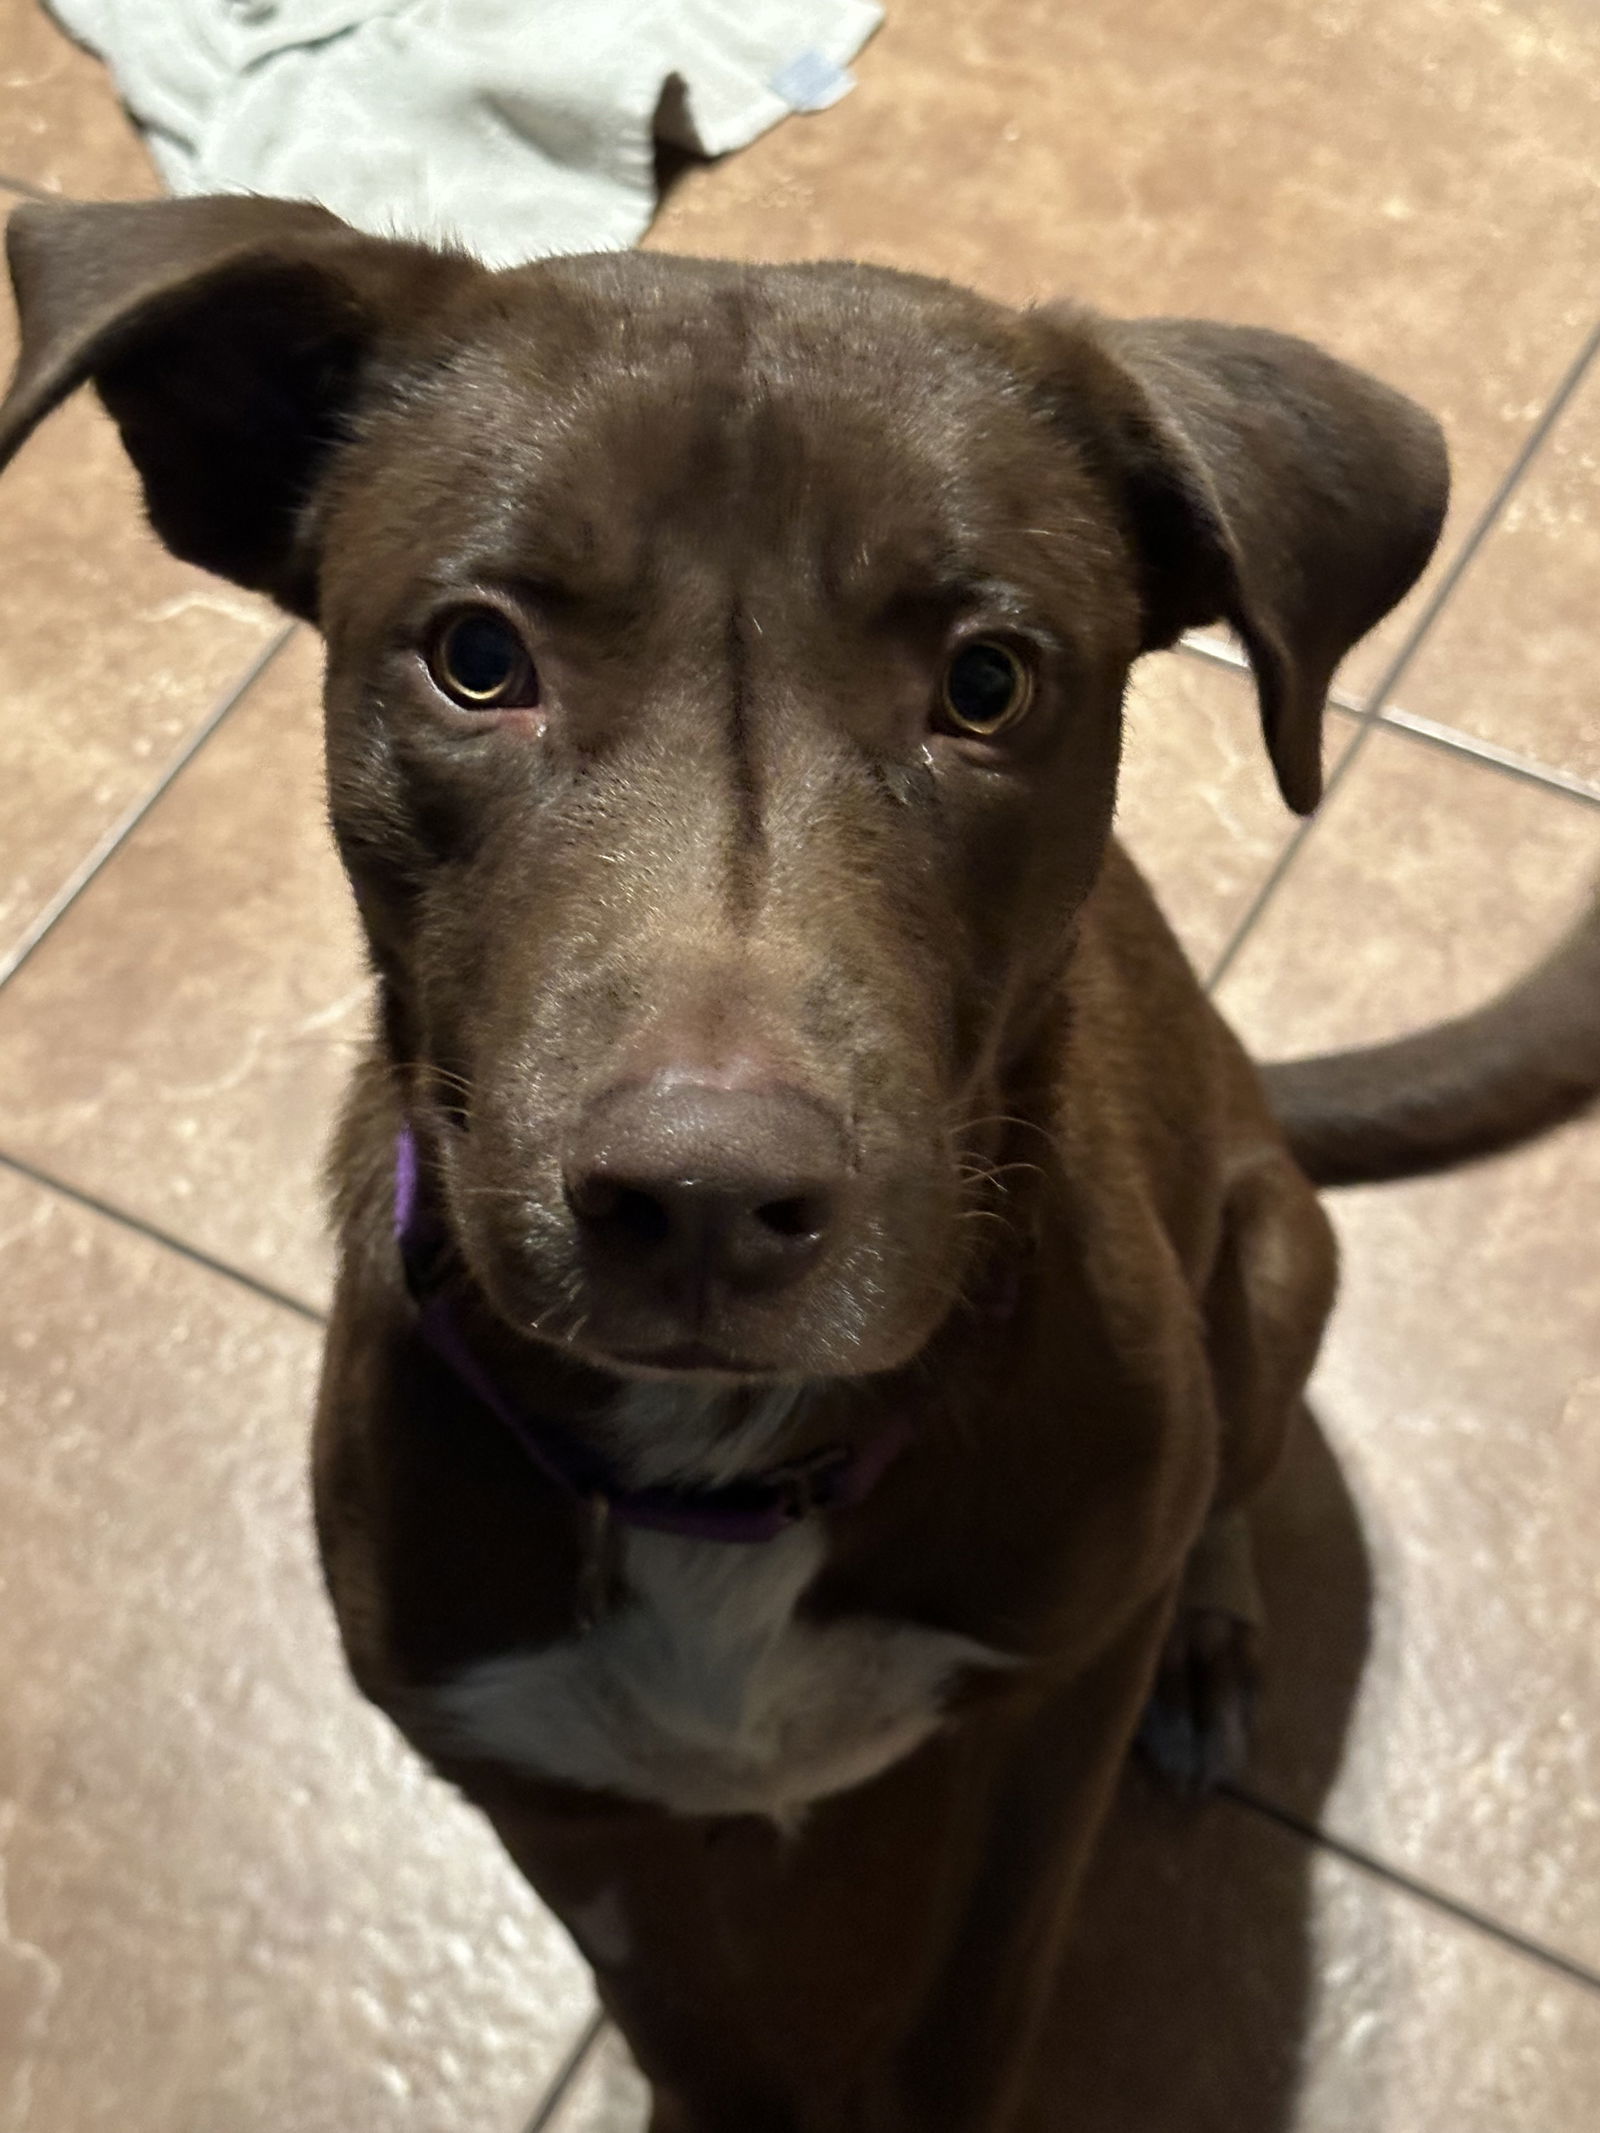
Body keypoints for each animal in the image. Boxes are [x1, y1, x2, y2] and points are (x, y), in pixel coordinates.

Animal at [6, 191, 1595, 2124]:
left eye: (986, 682)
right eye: (478, 658)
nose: (700, 1203)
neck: (720, 1468)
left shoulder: (1039, 1729)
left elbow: (978, 2001)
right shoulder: (541, 1785)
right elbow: (684, 2014)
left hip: (1280, 1268)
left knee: (1228, 1470)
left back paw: (1211, 1634)